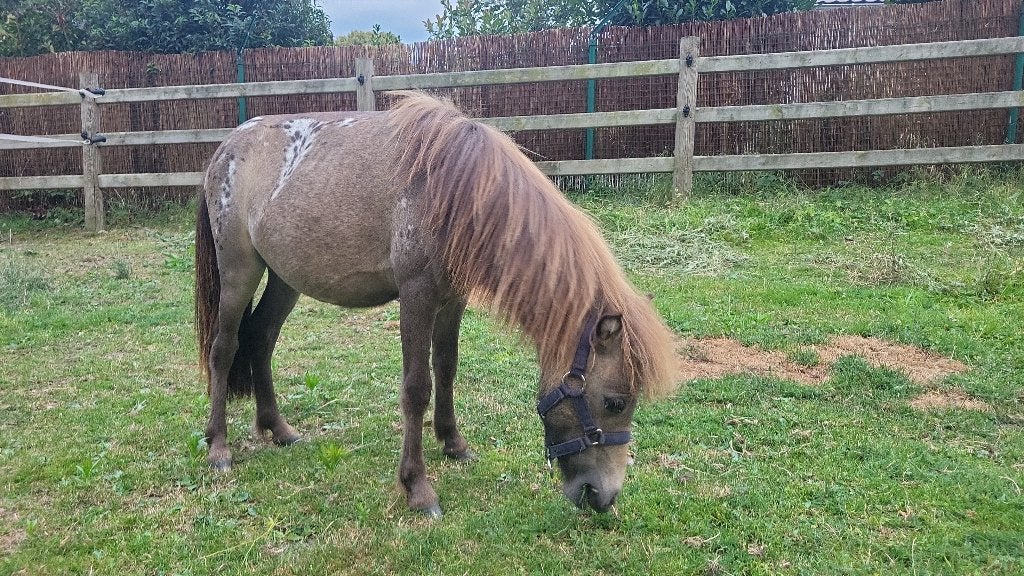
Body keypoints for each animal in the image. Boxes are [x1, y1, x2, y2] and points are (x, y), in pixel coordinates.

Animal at [194, 92, 679, 518]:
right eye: (615, 402)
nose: (603, 496)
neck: (459, 189)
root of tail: (225, 149)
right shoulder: (417, 296)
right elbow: (416, 387)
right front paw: (418, 487)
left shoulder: (452, 300)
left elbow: (446, 367)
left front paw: (454, 444)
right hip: (239, 273)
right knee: (224, 349)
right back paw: (218, 446)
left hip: (284, 279)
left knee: (261, 338)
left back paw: (277, 429)